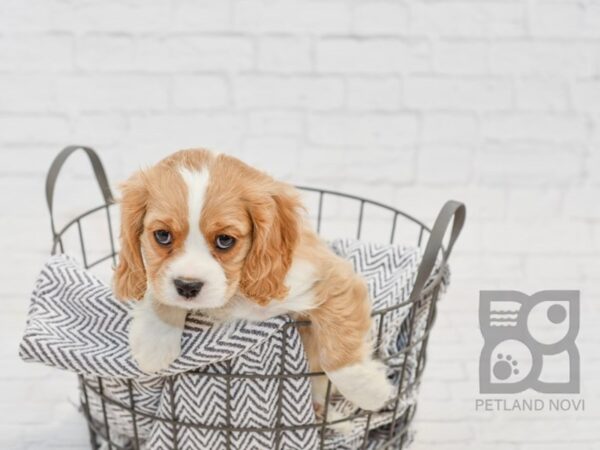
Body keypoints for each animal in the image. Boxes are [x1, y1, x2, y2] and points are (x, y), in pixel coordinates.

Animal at [113, 150, 394, 412]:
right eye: (162, 236)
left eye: (225, 240)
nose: (188, 287)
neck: (237, 294)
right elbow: (157, 286)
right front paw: (155, 344)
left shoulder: (331, 278)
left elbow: (339, 354)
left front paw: (370, 392)